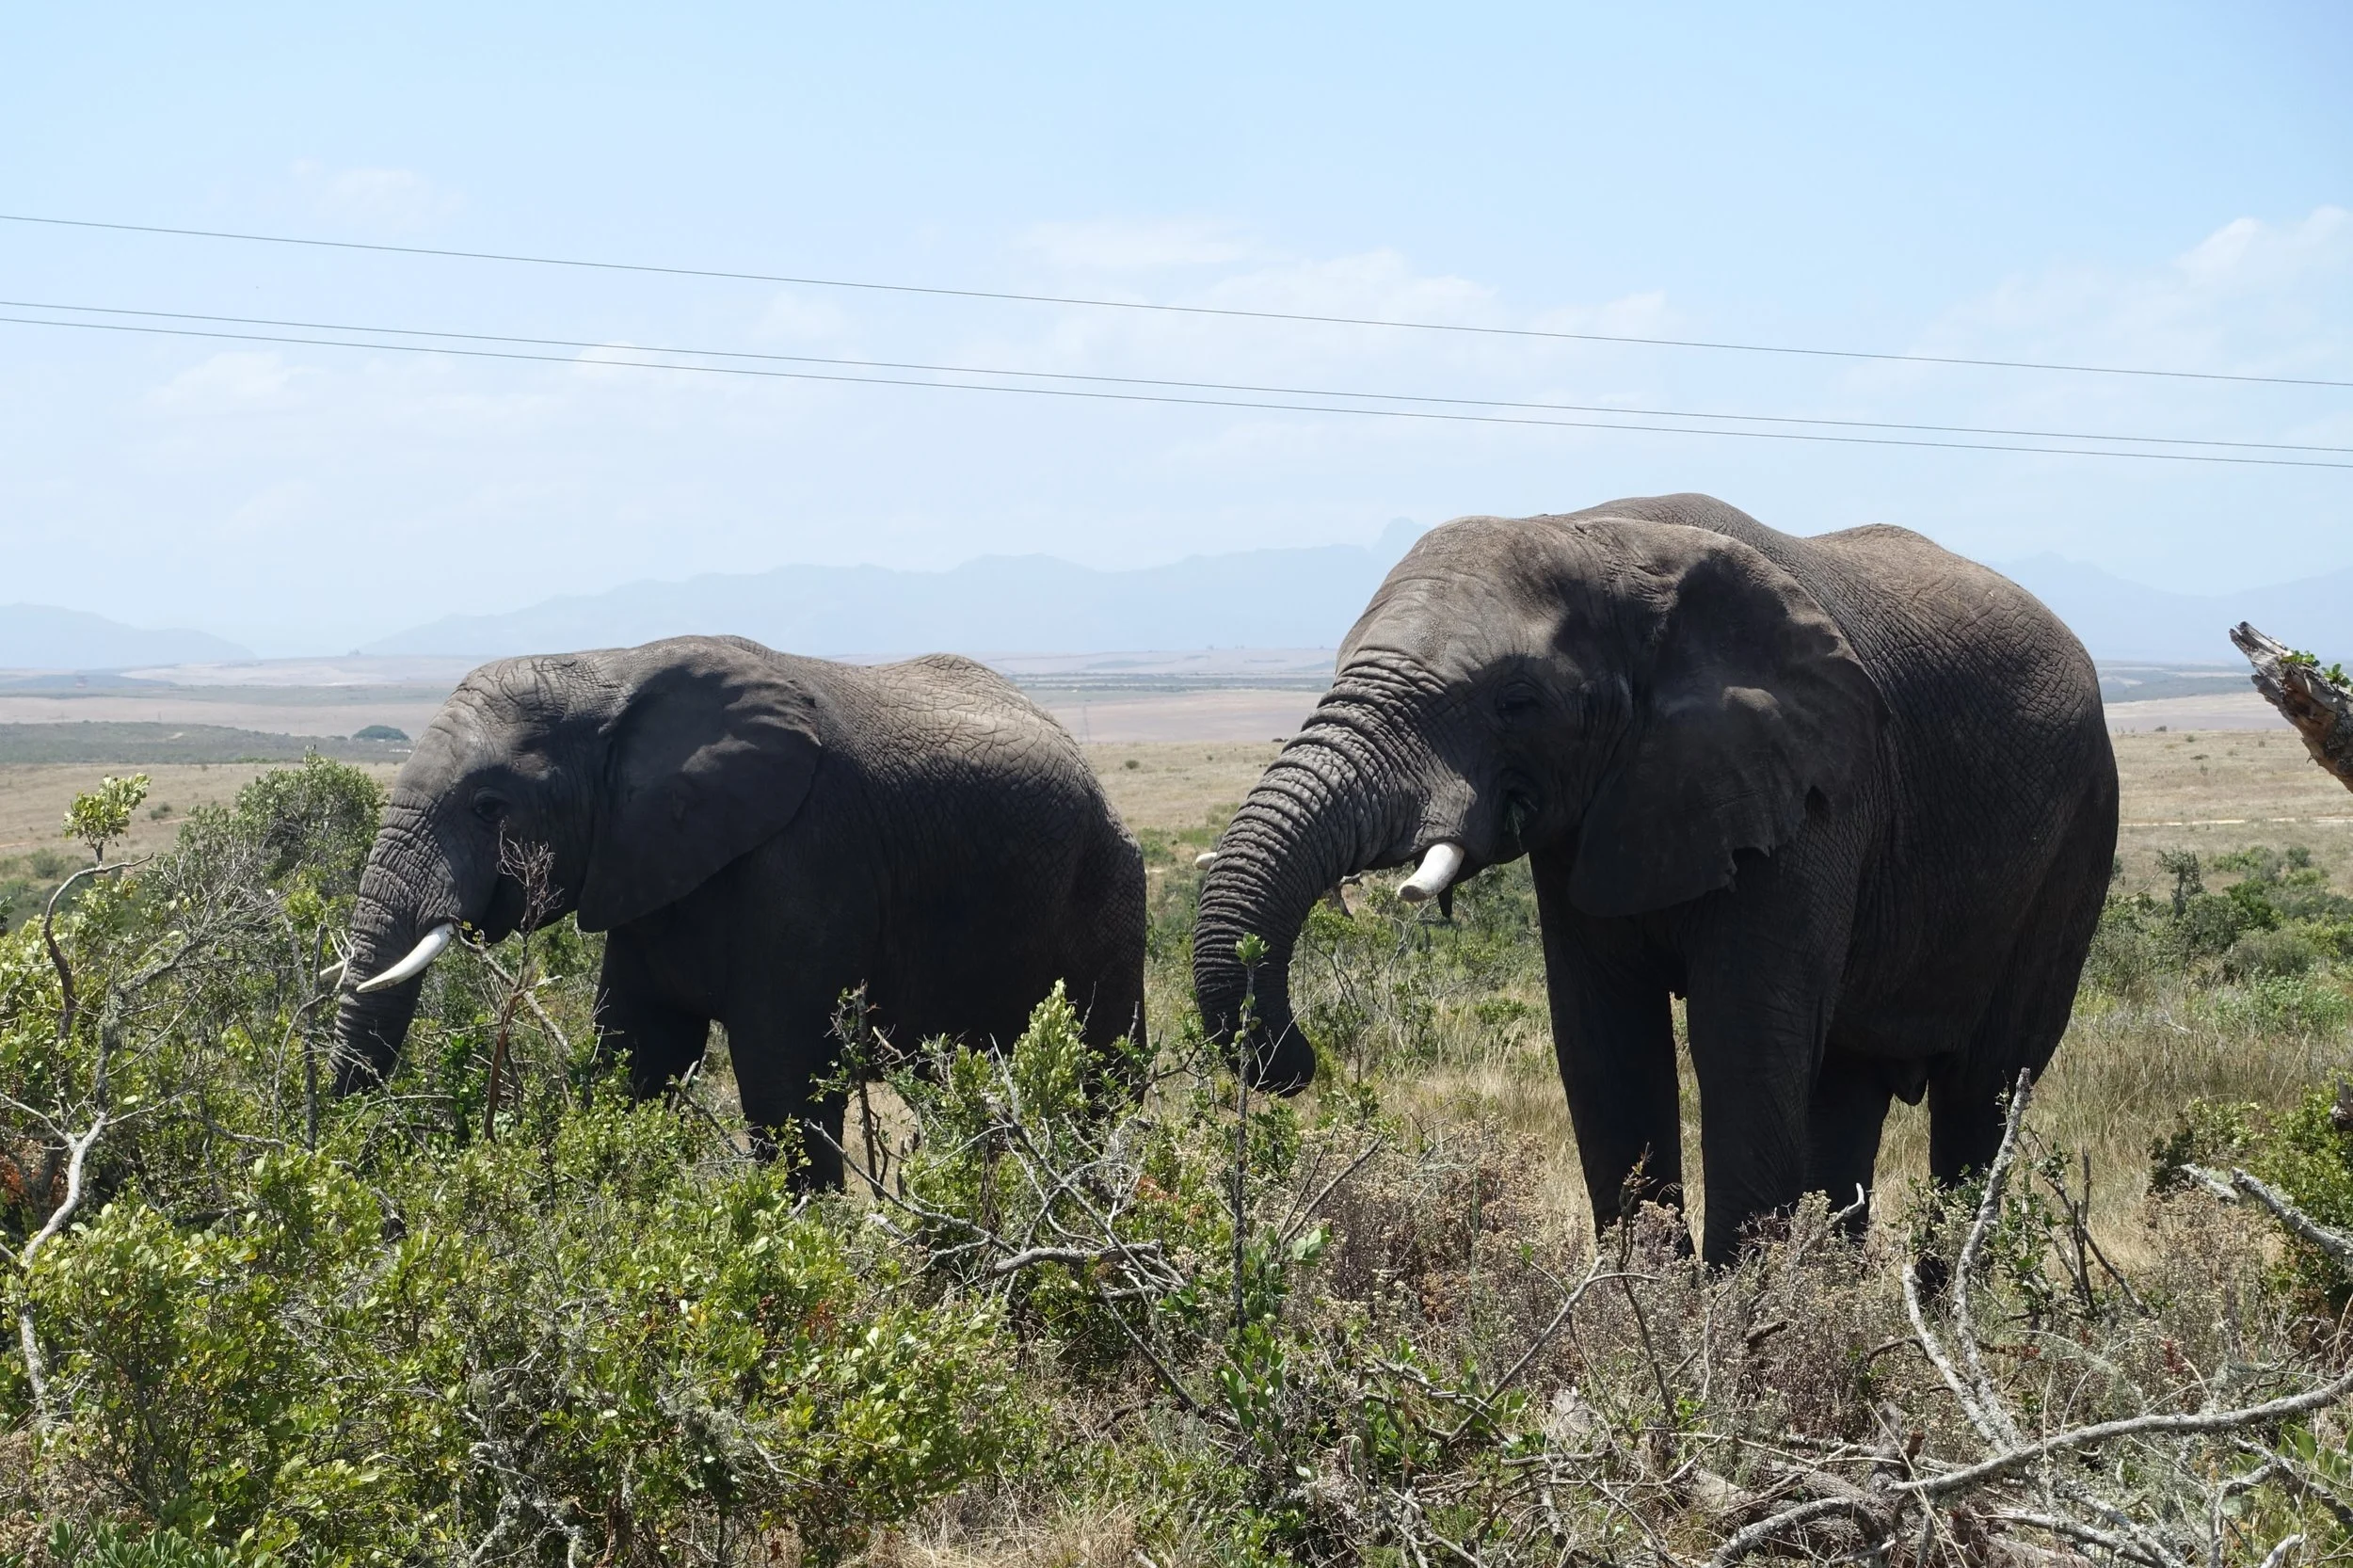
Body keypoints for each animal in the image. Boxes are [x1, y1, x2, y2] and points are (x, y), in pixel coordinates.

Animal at [333, 635, 1147, 1186]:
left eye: (488, 806)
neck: (606, 671)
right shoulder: (642, 867)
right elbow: (640, 1053)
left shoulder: (808, 860)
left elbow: (782, 1077)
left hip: (1107, 887)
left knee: (1102, 1076)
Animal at [1193, 493, 2118, 1263]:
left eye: (1517, 701)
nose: (1298, 1064)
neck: (1598, 533)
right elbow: (1605, 1044)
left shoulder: (1811, 800)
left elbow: (1743, 1043)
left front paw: (1737, 1345)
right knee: (1846, 1088)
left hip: (2078, 838)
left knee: (1982, 1096)